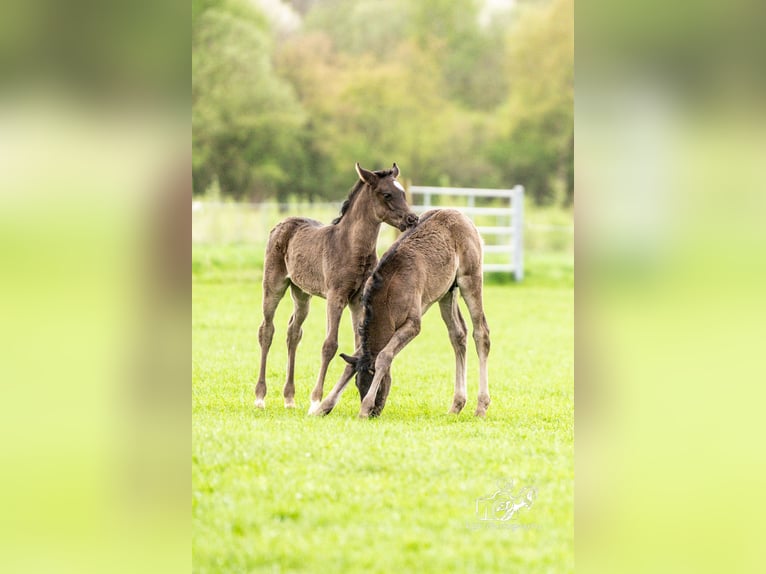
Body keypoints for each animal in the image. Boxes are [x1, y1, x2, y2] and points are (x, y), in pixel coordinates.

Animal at [255, 163, 419, 412]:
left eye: (403, 192)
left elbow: (358, 344)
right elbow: (329, 345)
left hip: (301, 293)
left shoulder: (358, 300)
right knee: (267, 329)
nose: (412, 219)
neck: (351, 246)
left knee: (293, 332)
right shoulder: (336, 296)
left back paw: (289, 398)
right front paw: (316, 401)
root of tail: (282, 223)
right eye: (387, 194)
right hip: (274, 284)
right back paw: (260, 397)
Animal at [312, 208, 491, 418]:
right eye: (357, 384)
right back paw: (456, 405)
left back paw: (481, 406)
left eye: (376, 384)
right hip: (447, 291)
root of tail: (462, 216)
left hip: (470, 278)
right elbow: (352, 363)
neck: (388, 294)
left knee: (481, 332)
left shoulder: (413, 325)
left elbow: (384, 356)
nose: (375, 412)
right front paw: (323, 406)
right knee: (458, 335)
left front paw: (363, 409)